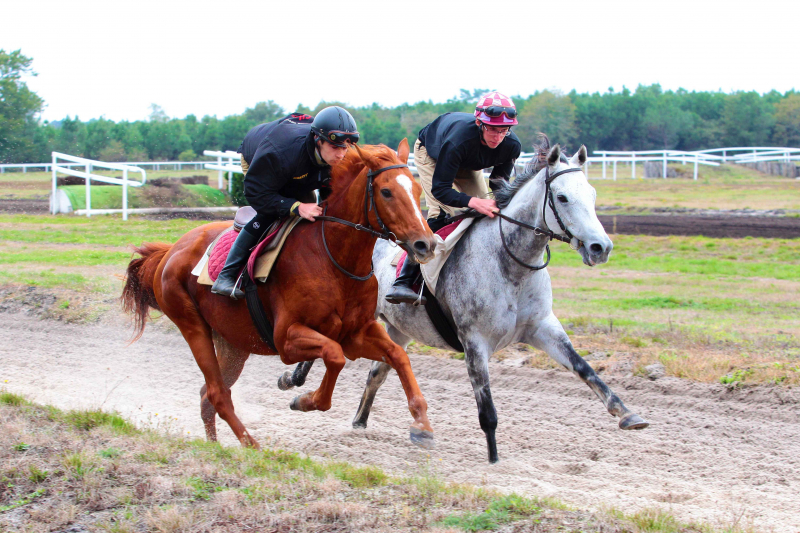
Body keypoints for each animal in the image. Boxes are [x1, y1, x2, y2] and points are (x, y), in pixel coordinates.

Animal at [122, 139, 438, 446]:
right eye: (386, 191)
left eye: (418, 188)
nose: (426, 244)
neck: (334, 258)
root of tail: (170, 250)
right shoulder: (286, 338)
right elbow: (334, 356)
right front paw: (304, 399)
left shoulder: (356, 332)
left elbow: (398, 355)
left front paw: (422, 423)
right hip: (192, 326)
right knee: (217, 393)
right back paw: (251, 447)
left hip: (233, 342)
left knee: (207, 395)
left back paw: (215, 447)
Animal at [282, 137, 648, 462]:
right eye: (562, 197)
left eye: (592, 194)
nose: (601, 247)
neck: (511, 263)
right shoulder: (474, 340)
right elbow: (487, 408)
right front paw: (494, 459)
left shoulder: (542, 327)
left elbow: (584, 368)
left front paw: (627, 413)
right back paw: (293, 378)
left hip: (397, 327)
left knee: (377, 372)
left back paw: (361, 422)